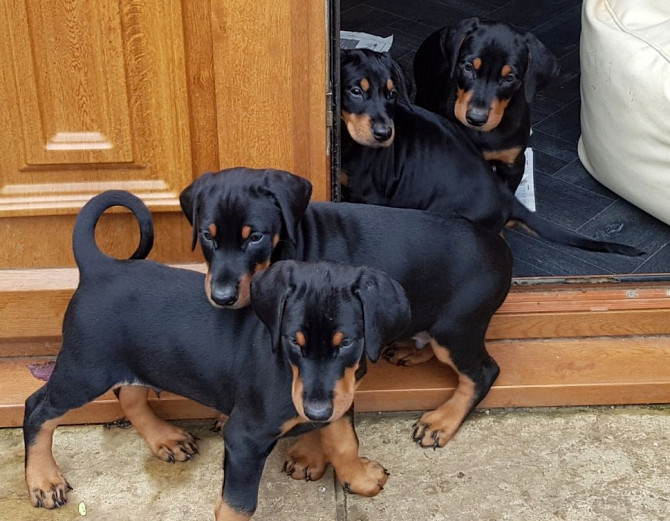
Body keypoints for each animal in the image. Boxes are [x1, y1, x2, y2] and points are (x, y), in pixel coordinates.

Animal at [23, 192, 412, 520]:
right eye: (293, 341)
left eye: (347, 343)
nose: (315, 412)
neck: (288, 370)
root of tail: (100, 268)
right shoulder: (245, 436)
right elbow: (239, 504)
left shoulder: (339, 396)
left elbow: (344, 440)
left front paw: (359, 478)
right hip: (85, 369)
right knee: (37, 409)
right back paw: (43, 480)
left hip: (136, 360)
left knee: (130, 394)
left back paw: (166, 438)